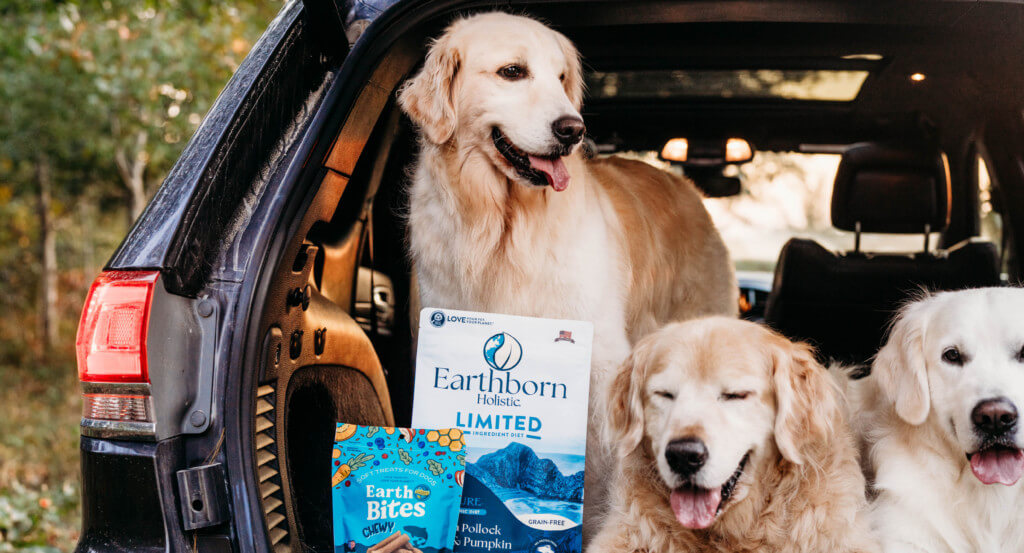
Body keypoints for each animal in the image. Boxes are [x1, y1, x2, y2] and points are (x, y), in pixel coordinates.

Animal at [397, 11, 737, 540]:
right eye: (512, 72)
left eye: (560, 78)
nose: (572, 129)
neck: (504, 226)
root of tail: (688, 186)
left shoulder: (602, 369)